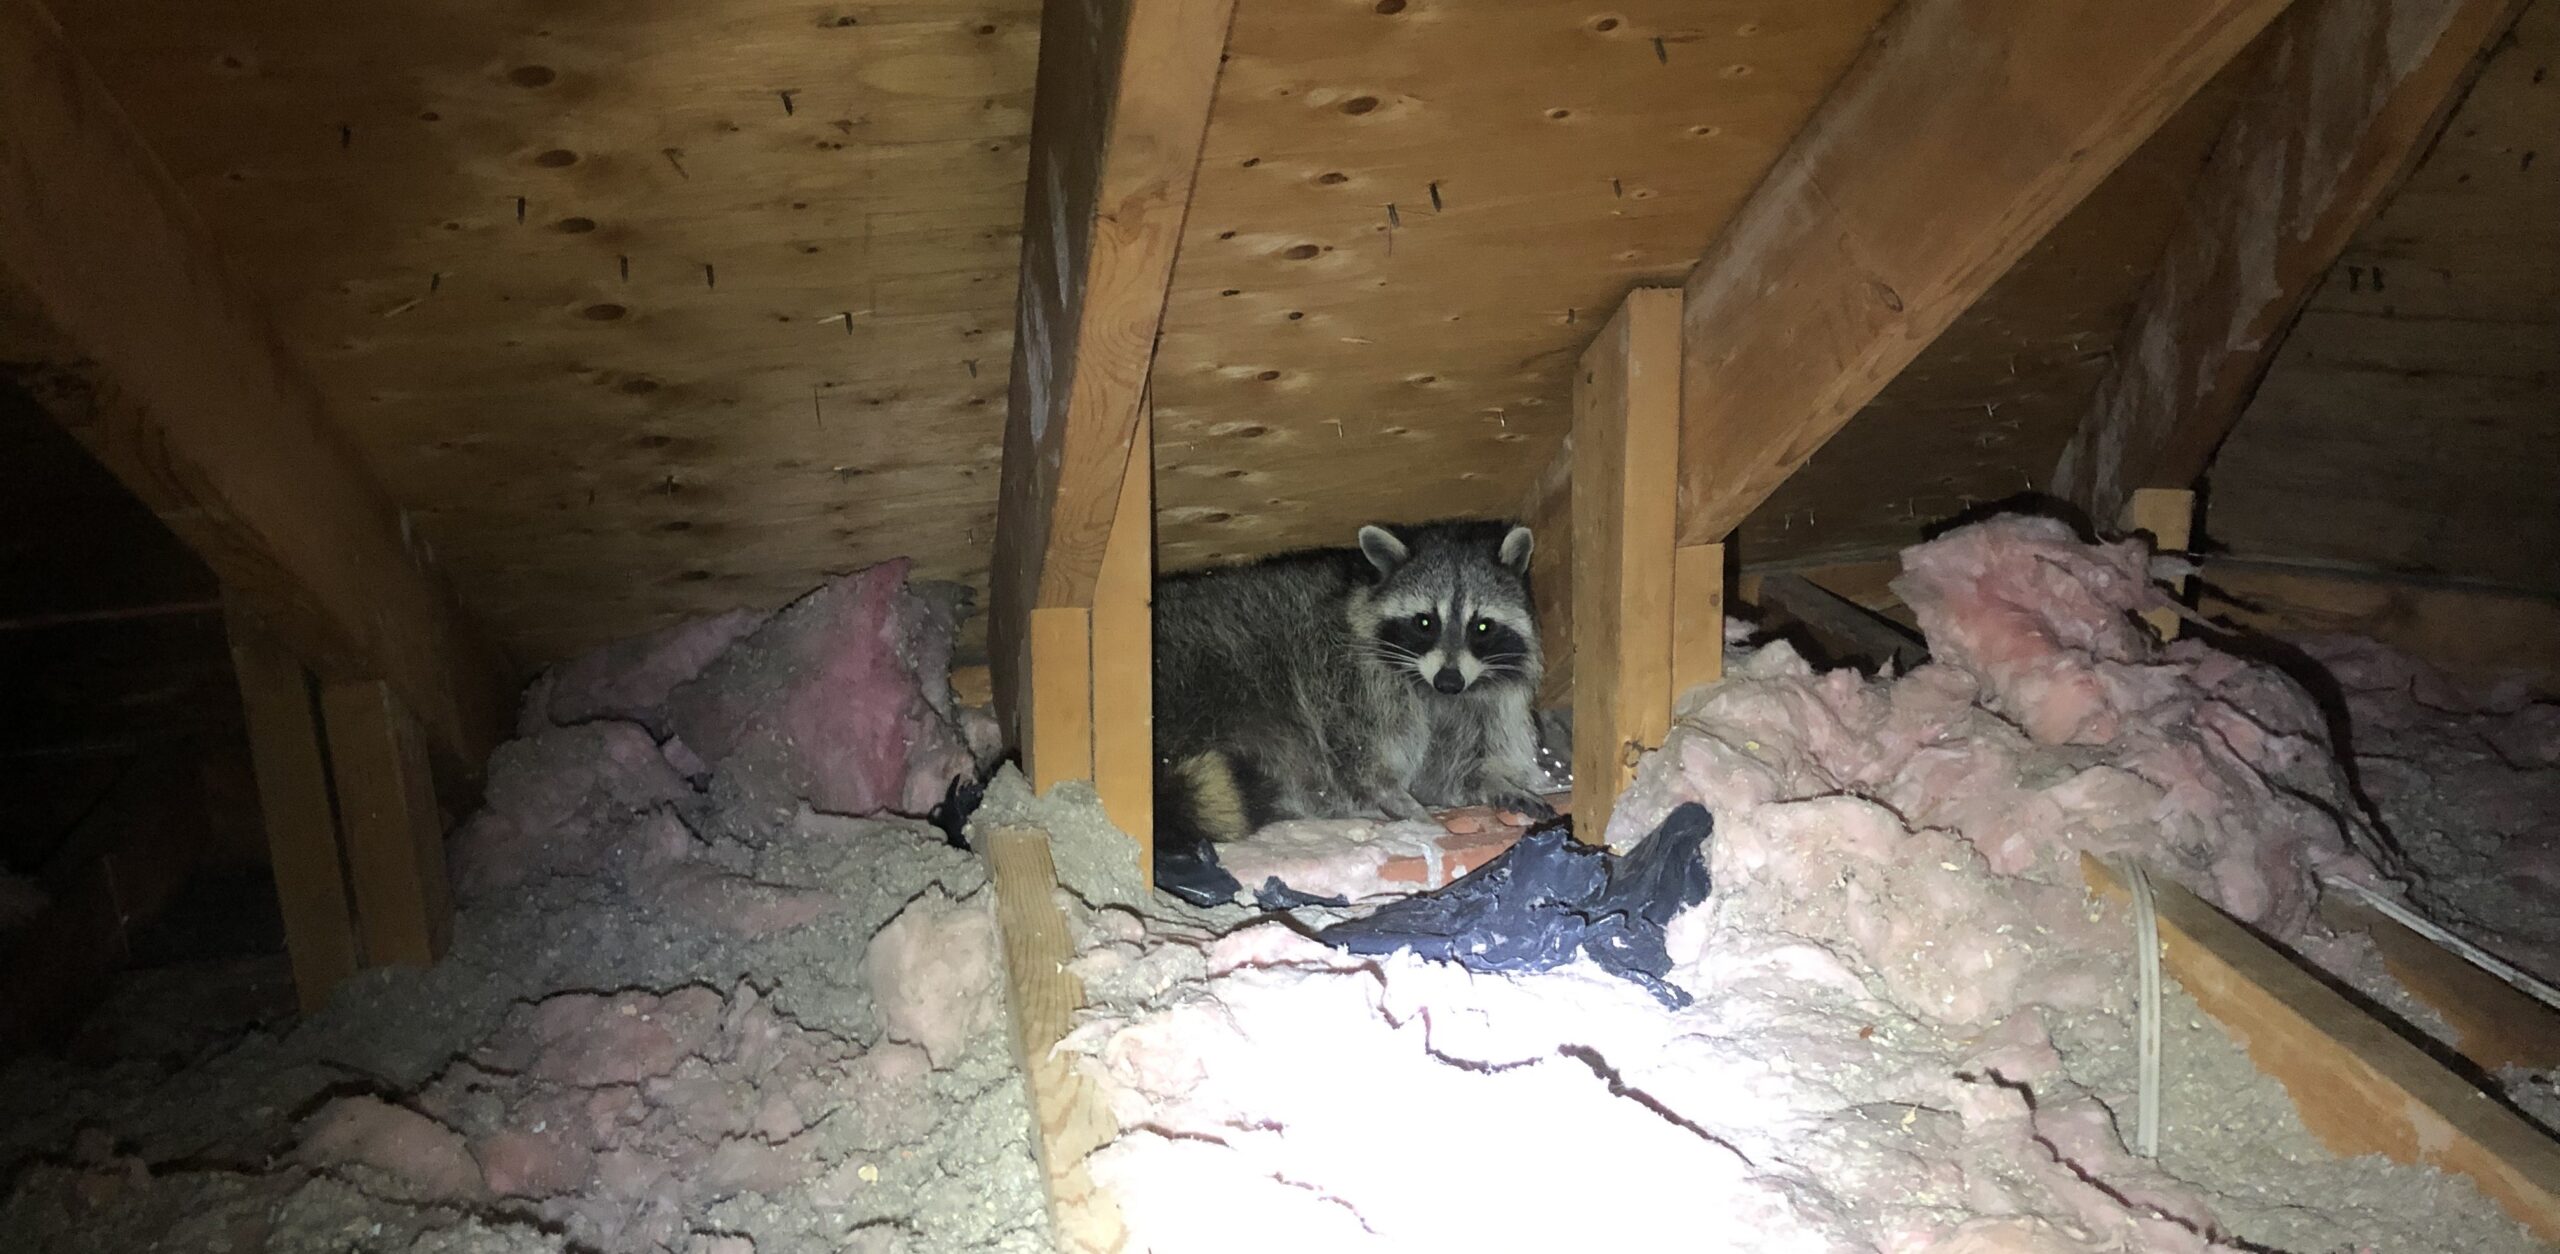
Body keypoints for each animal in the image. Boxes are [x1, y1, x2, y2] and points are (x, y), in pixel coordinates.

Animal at [1152, 519, 1551, 887]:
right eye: (1425, 623)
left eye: (1481, 627)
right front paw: (1401, 801)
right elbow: (1363, 757)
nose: (1449, 682)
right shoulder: (1349, 680)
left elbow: (1444, 773)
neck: (1430, 690)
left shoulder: (1476, 708)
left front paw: (1494, 782)